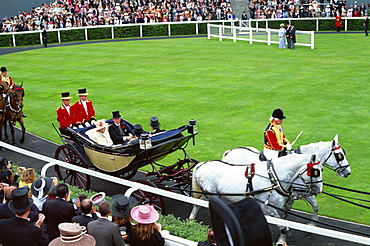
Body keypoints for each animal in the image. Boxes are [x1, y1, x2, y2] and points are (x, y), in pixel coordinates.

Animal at [189, 154, 322, 244]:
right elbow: (283, 227)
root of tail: (201, 164)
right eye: (316, 171)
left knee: (197, 204)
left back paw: (191, 221)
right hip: (212, 194)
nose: (318, 190)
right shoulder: (266, 207)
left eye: (322, 170)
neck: (272, 177)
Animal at [221, 135, 352, 225]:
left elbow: (314, 206)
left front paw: (312, 224)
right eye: (340, 155)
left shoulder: (301, 193)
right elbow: (287, 210)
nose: (348, 172)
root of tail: (229, 152)